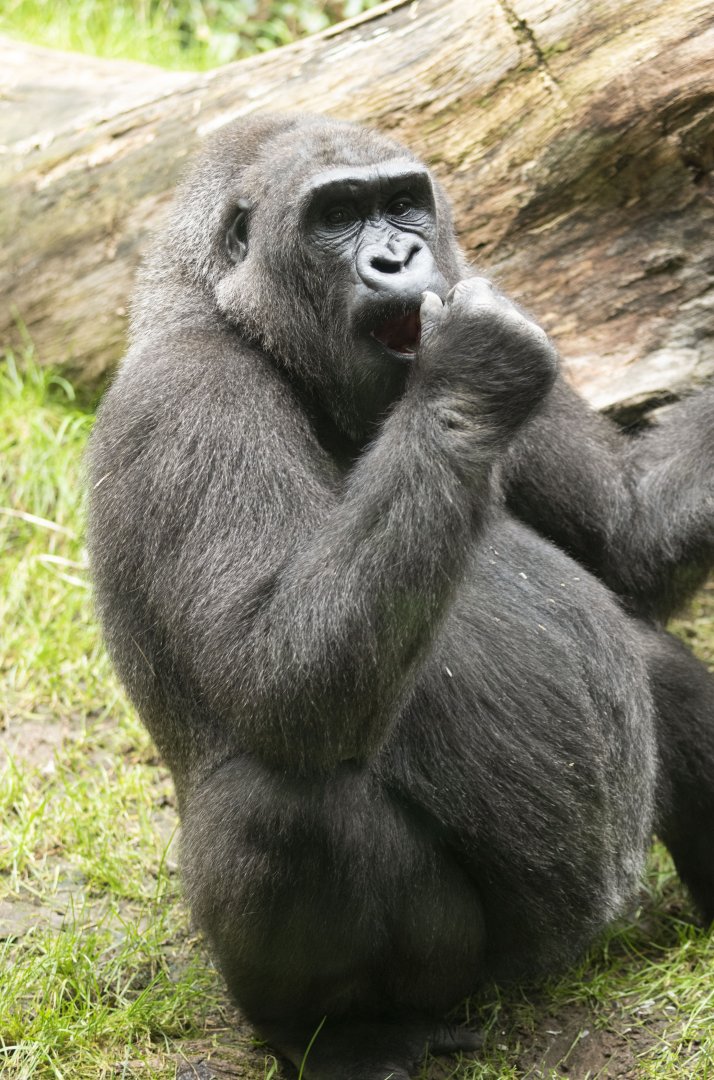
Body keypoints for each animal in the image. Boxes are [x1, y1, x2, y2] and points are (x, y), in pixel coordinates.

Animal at [87, 113, 714, 1079]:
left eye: (404, 203)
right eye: (338, 216)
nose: (398, 257)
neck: (228, 315)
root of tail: (567, 956)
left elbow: (627, 534)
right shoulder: (187, 398)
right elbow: (277, 676)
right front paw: (471, 381)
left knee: (655, 659)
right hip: (472, 971)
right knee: (287, 805)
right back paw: (335, 1033)